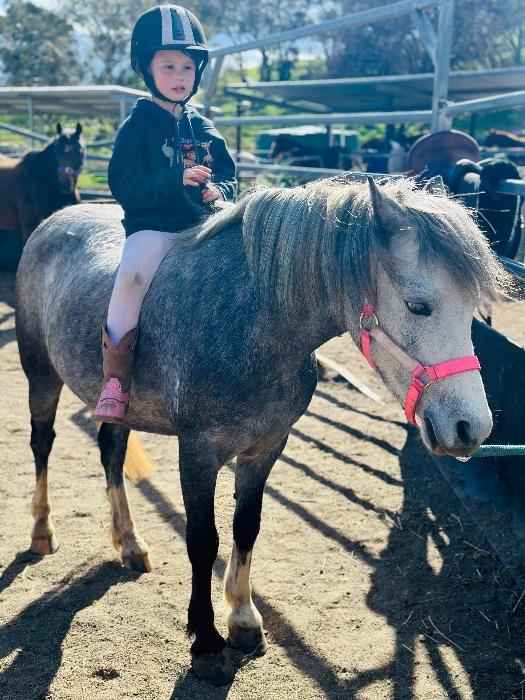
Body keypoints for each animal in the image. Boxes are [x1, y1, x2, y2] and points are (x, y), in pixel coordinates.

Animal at [15, 176, 508, 685]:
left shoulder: (266, 447)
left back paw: (130, 544)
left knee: (111, 452)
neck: (252, 320)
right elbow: (203, 541)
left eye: (473, 309)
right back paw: (41, 529)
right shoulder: (198, 452)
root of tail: (53, 222)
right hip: (40, 373)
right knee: (42, 444)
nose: (471, 427)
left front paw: (243, 620)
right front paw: (207, 644)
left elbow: (246, 527)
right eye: (418, 305)